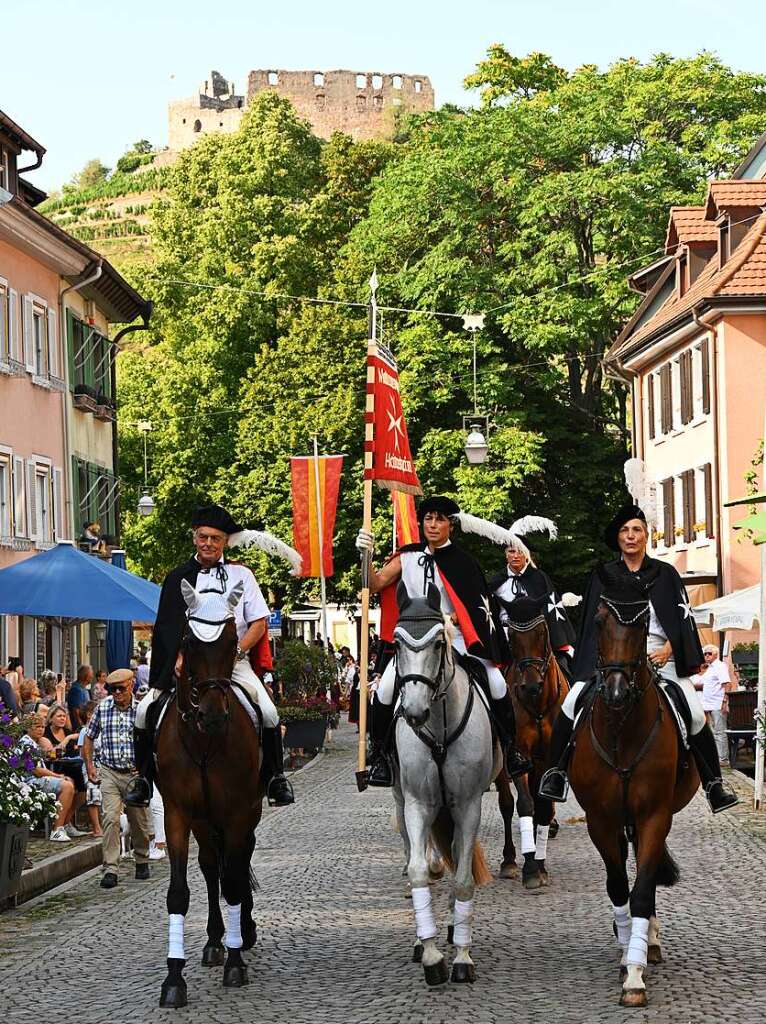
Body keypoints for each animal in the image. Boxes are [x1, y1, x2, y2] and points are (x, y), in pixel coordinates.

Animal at [153, 581, 264, 1011]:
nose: (214, 715)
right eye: (188, 641)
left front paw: (235, 962)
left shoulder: (237, 812)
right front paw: (173, 978)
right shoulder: (177, 815)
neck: (203, 742)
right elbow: (179, 893)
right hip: (204, 822)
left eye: (233, 640)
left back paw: (242, 932)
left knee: (237, 864)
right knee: (211, 866)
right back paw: (216, 940)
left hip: (246, 815)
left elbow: (233, 883)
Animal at [395, 581, 497, 987]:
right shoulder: (417, 803)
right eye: (396, 644)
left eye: (438, 643)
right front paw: (432, 954)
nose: (414, 712)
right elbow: (418, 871)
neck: (437, 726)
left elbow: (464, 878)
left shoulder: (468, 805)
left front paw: (463, 957)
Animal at [569, 585, 700, 1007]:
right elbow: (617, 888)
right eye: (597, 622)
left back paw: (649, 944)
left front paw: (635, 975)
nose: (615, 692)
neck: (621, 731)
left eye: (643, 625)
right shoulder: (600, 820)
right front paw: (627, 954)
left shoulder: (654, 815)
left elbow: (641, 890)